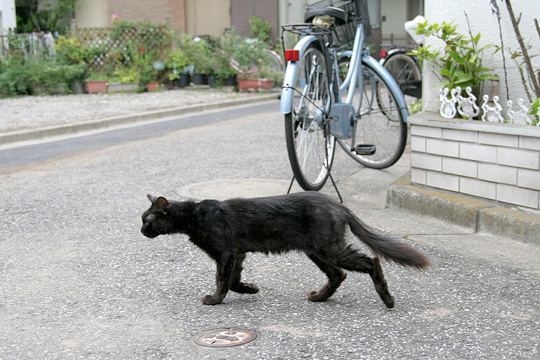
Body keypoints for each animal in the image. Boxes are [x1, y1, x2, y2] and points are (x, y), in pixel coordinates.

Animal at [140, 191, 430, 306]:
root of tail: (337, 204)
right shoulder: (238, 253)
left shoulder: (226, 252)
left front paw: (215, 300)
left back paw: (387, 299)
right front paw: (250, 289)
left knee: (371, 261)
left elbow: (222, 279)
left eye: (147, 220)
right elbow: (233, 279)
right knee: (338, 274)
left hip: (328, 248)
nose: (141, 231)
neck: (192, 216)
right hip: (317, 250)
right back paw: (319, 297)